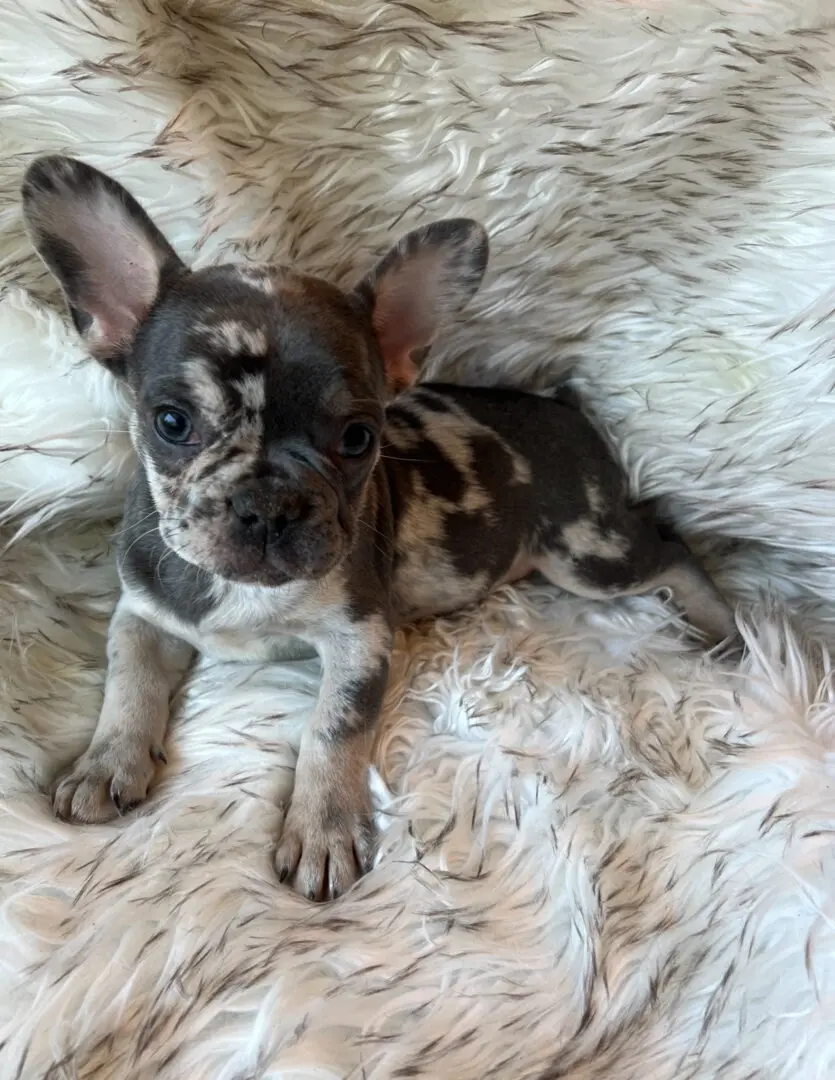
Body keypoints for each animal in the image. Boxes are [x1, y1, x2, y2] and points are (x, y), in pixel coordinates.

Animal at [21, 157, 734, 902]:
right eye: (171, 423)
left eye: (359, 438)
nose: (269, 503)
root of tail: (570, 411)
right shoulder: (142, 613)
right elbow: (126, 681)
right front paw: (107, 762)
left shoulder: (358, 639)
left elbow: (333, 729)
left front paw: (323, 829)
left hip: (585, 554)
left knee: (671, 550)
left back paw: (722, 629)